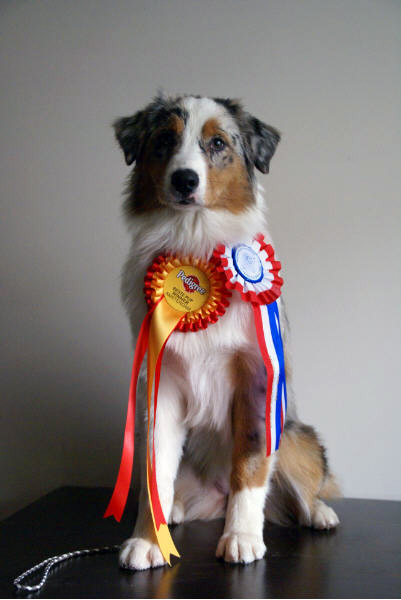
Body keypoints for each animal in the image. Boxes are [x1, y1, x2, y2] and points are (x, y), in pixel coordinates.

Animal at [113, 93, 339, 570]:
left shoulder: (256, 376)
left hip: (297, 436)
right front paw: (147, 541)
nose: (184, 179)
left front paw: (242, 537)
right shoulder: (159, 379)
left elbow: (249, 467)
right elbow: (154, 473)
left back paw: (318, 513)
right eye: (165, 139)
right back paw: (178, 512)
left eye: (218, 142)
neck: (193, 244)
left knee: (304, 487)